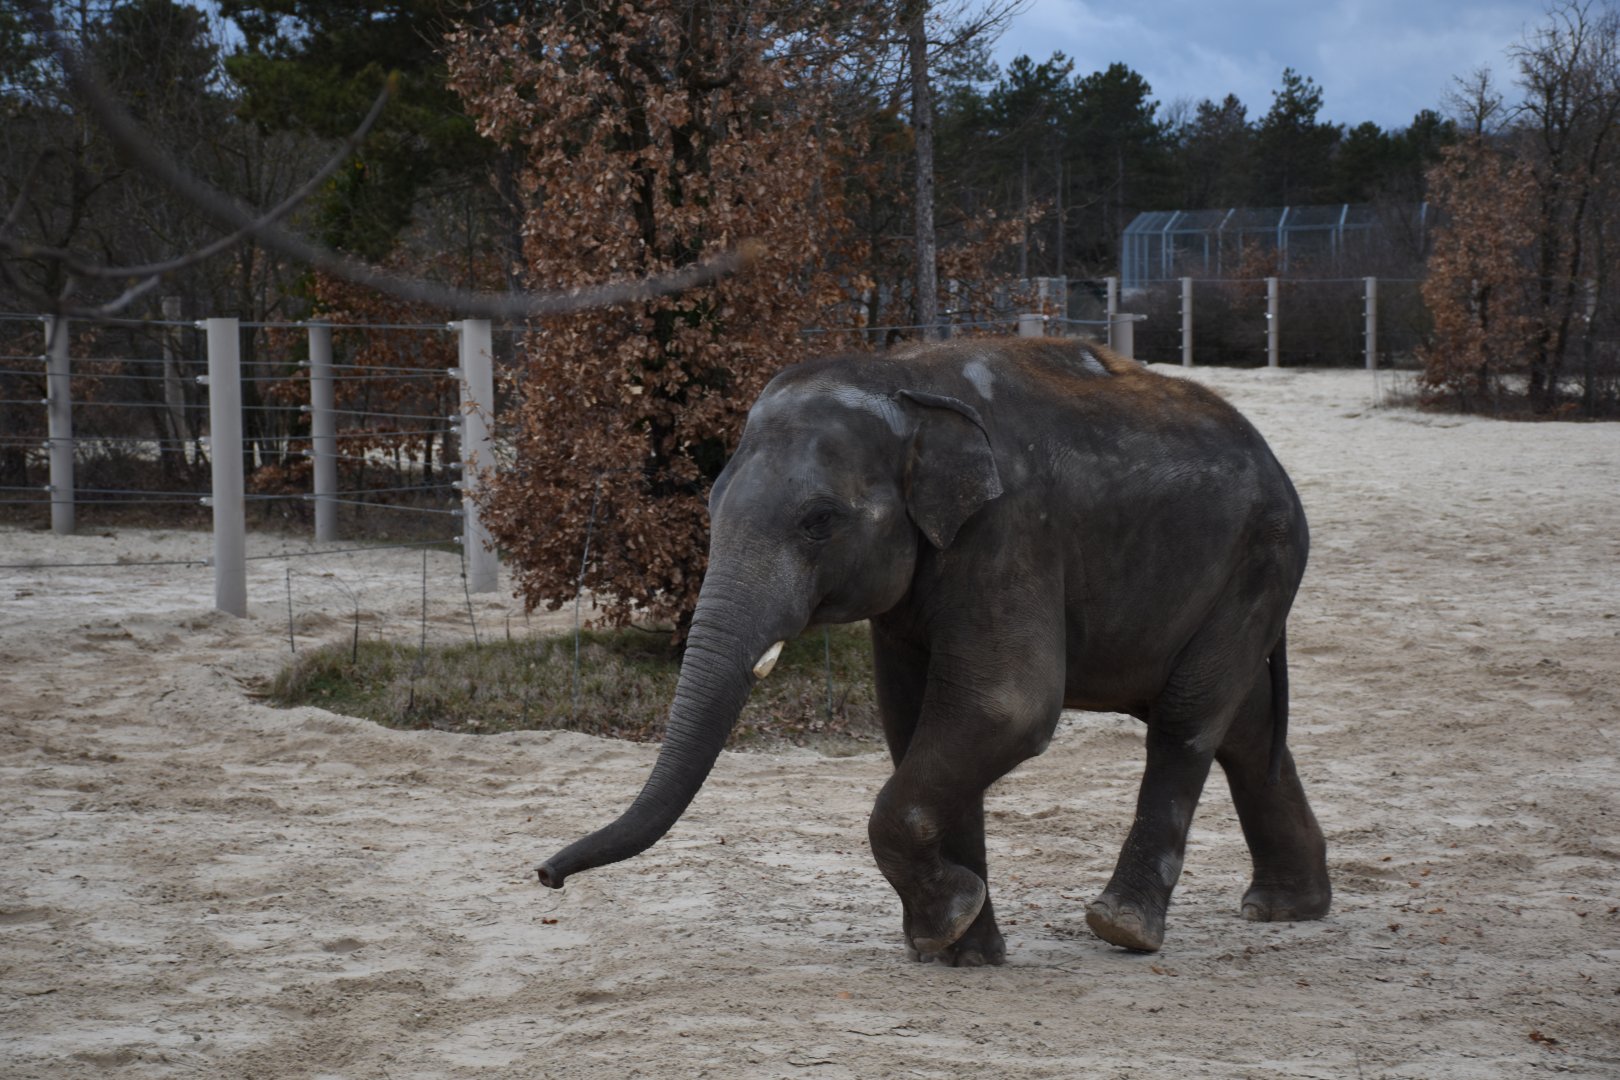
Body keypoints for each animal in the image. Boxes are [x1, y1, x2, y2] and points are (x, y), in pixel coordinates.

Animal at [538, 337, 1331, 965]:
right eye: (710, 507)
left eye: (818, 521)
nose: (545, 877)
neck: (906, 382)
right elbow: (917, 717)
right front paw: (962, 950)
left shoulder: (1011, 529)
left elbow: (1005, 707)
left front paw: (945, 924)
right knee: (1245, 726)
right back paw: (1284, 909)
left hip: (1262, 558)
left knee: (1188, 718)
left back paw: (1124, 929)